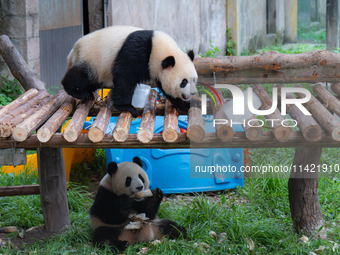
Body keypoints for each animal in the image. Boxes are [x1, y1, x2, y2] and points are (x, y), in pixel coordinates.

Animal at [62, 25, 198, 117]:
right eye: (184, 82)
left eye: (194, 80)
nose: (193, 93)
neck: (157, 48)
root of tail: (73, 51)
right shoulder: (137, 51)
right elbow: (124, 76)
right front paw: (127, 107)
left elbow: (166, 89)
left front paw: (185, 104)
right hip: (91, 58)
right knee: (80, 75)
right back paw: (78, 91)